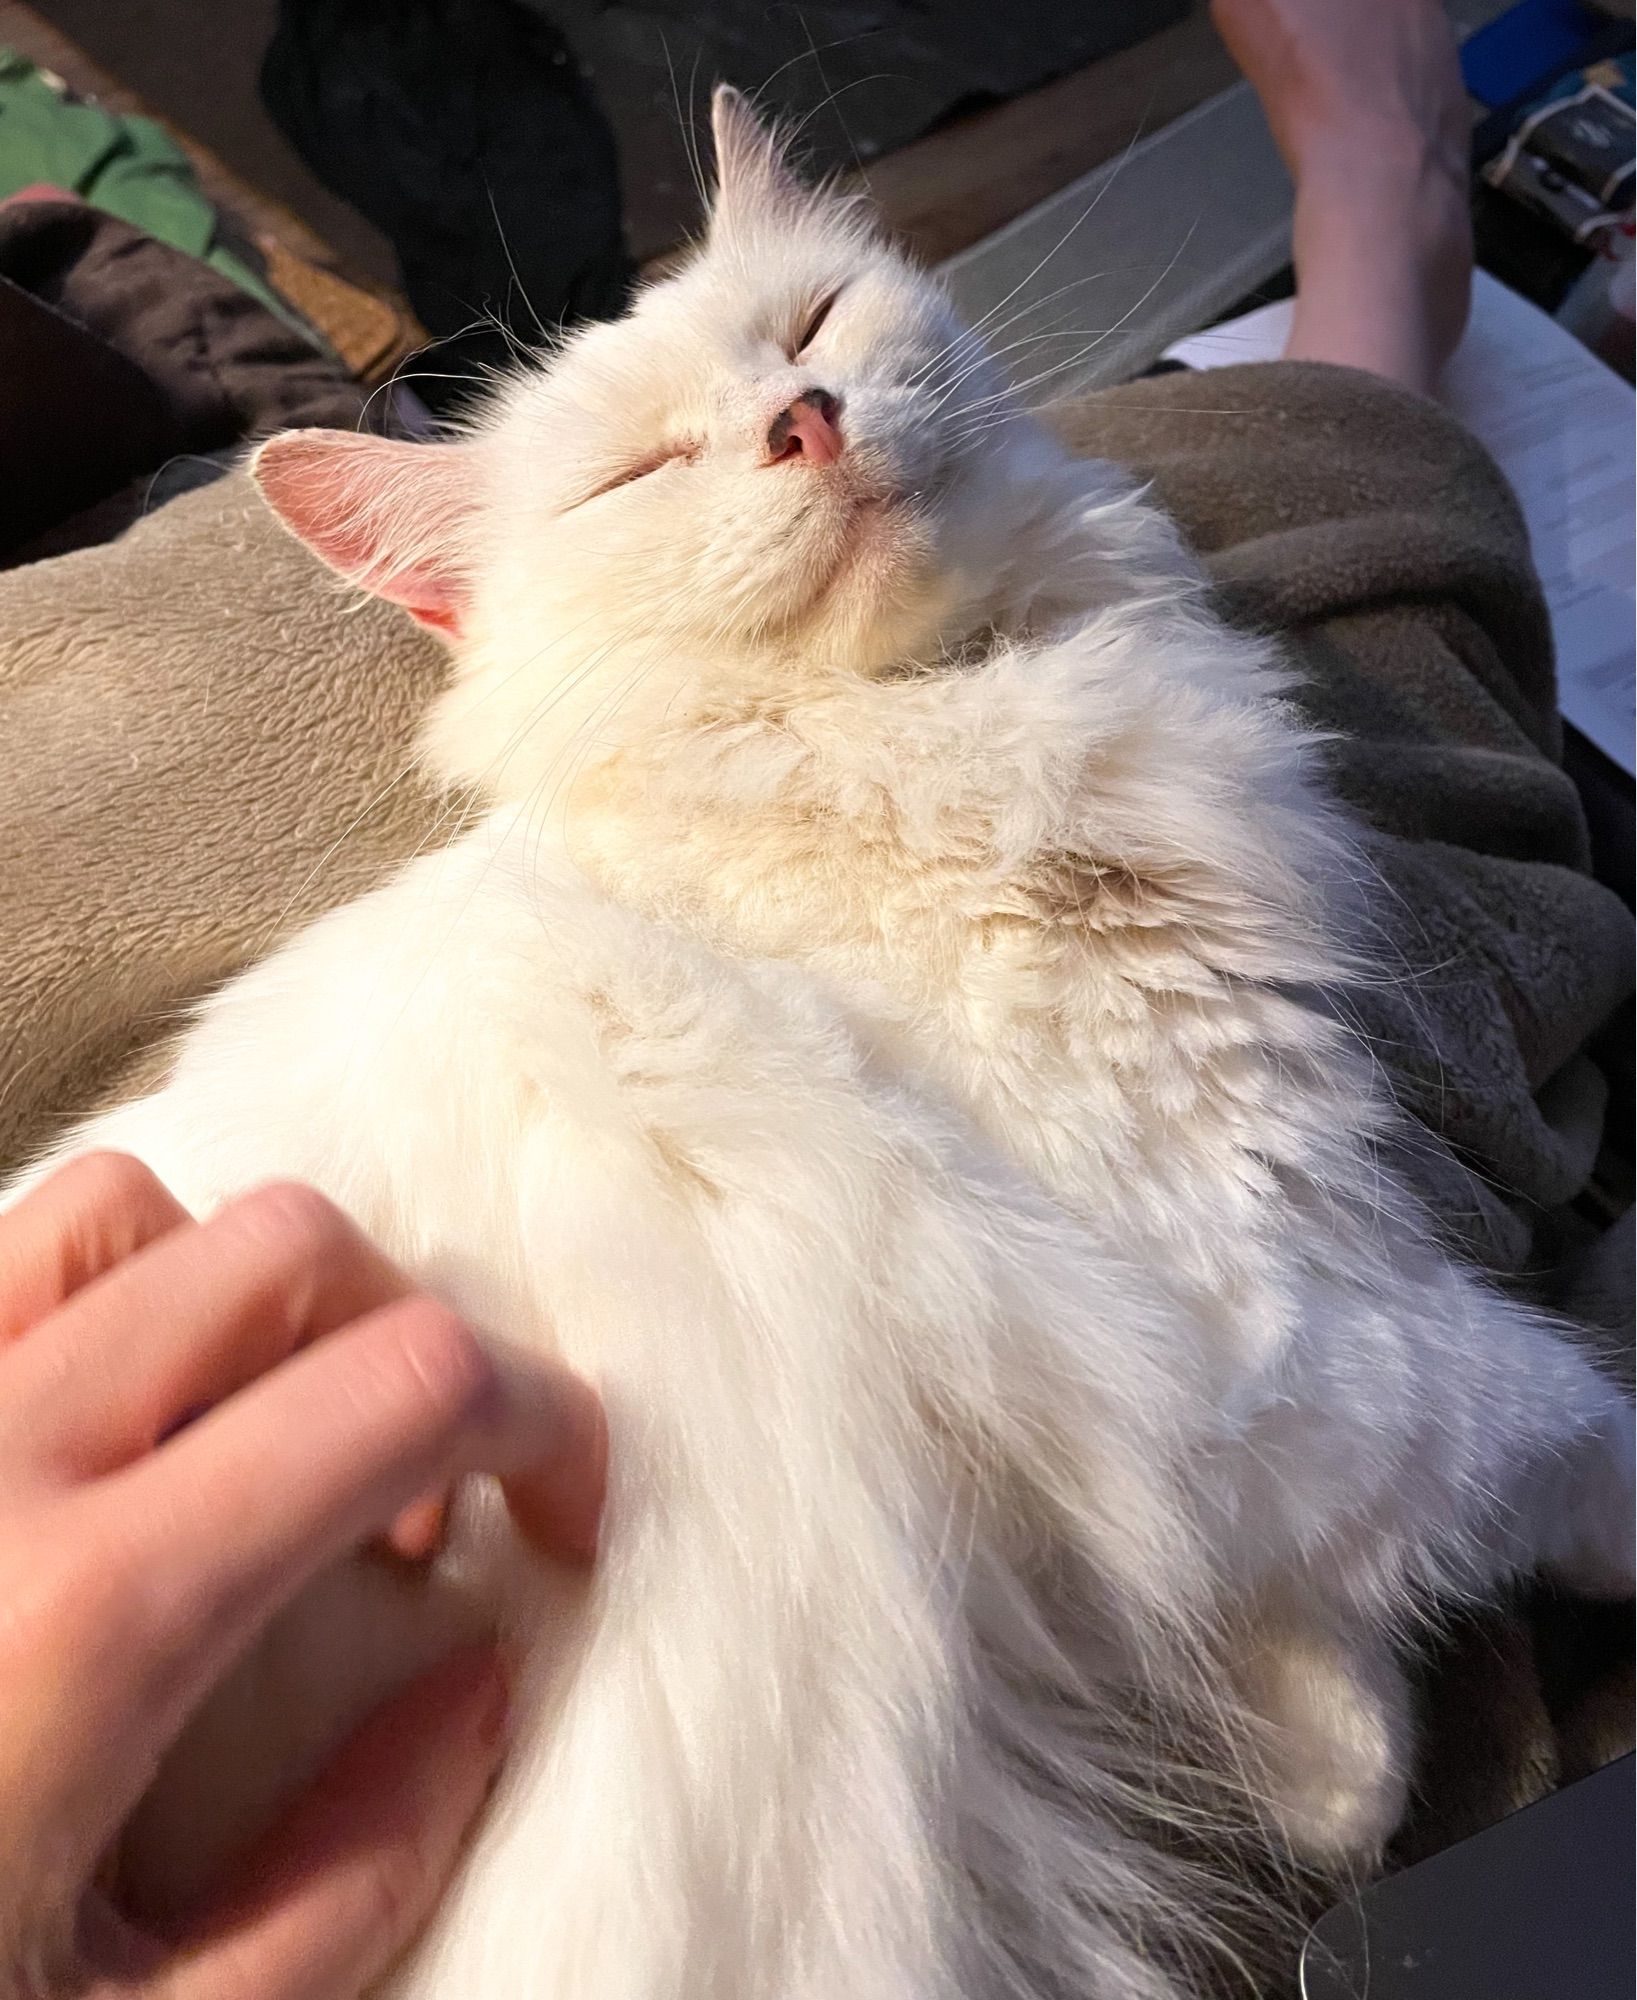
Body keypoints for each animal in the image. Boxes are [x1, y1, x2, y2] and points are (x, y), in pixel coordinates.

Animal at [15, 90, 1632, 2000]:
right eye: (639, 474)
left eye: (809, 328)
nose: (804, 420)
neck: (902, 736)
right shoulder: (1263, 1298)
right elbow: (1546, 1421)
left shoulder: (1209, 1385)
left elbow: (1287, 1620)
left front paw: (1334, 1783)